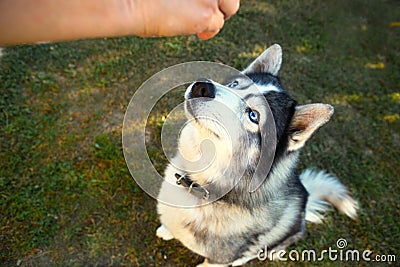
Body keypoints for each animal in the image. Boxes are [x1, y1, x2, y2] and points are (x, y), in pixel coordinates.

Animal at [155, 43, 358, 266]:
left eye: (253, 116)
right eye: (234, 84)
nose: (202, 87)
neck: (198, 183)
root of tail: (307, 194)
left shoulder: (218, 259)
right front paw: (167, 230)